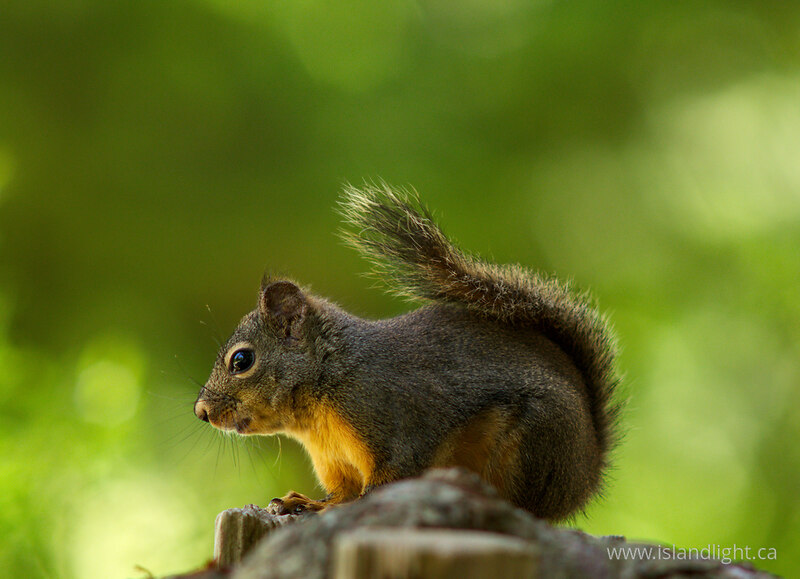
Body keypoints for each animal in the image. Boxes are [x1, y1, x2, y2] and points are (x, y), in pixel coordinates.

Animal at [194, 184, 620, 521]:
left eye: (241, 361)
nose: (201, 412)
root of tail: (588, 472)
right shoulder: (334, 461)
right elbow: (344, 492)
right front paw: (310, 503)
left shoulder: (393, 422)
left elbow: (382, 484)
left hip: (531, 447)